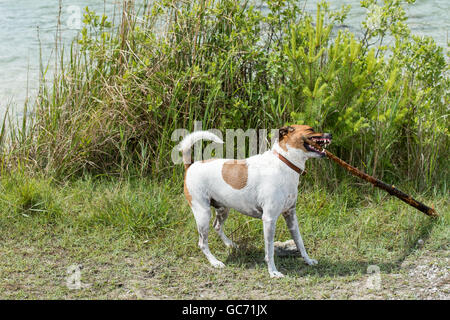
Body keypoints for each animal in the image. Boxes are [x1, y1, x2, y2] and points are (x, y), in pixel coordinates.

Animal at [178, 125, 330, 278]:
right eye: (311, 129)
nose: (330, 135)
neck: (284, 162)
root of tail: (190, 166)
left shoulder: (290, 215)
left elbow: (300, 242)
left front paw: (308, 260)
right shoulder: (269, 219)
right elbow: (270, 250)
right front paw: (273, 271)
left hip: (223, 209)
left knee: (217, 226)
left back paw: (231, 245)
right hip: (203, 214)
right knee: (202, 243)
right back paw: (215, 262)